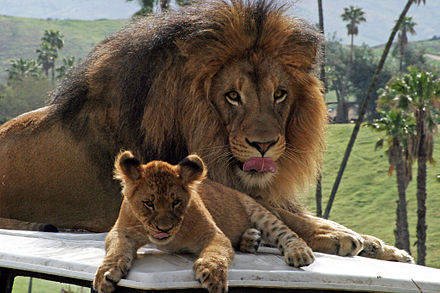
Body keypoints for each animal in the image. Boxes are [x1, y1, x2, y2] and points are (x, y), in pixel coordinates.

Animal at [0, 0, 412, 260]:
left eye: (279, 94)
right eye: (232, 96)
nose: (263, 145)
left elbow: (302, 213)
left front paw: (381, 246)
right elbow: (289, 217)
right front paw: (341, 237)